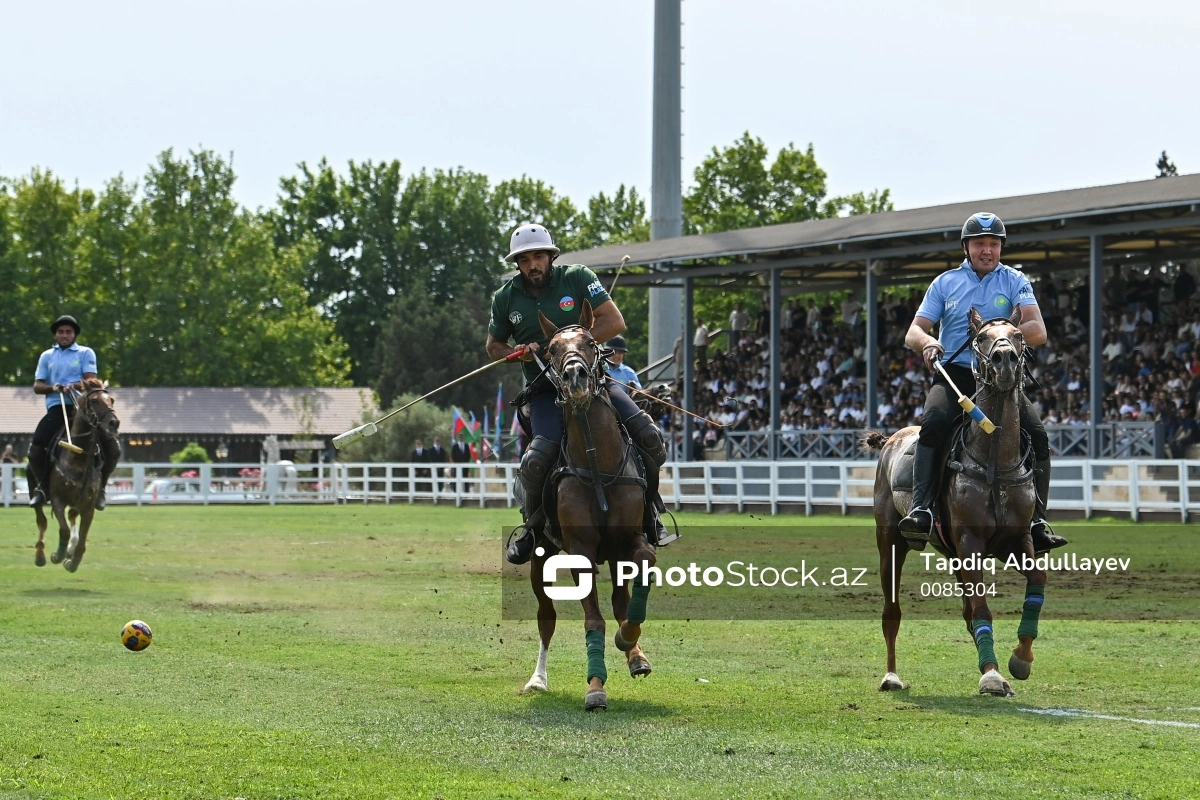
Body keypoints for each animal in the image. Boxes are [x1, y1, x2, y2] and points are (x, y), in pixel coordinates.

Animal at [34, 379, 120, 573]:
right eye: (94, 400)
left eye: (111, 399)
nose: (114, 423)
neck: (79, 457)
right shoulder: (57, 499)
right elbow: (63, 529)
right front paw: (57, 555)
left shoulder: (88, 506)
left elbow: (82, 540)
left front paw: (72, 561)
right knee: (41, 519)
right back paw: (40, 554)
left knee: (72, 517)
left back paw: (70, 550)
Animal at [525, 303, 657, 710]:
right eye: (550, 348)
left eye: (588, 341)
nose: (575, 376)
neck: (599, 461)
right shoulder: (580, 550)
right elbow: (592, 618)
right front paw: (595, 687)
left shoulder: (628, 540)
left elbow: (645, 564)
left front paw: (629, 641)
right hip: (541, 554)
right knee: (546, 615)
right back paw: (537, 679)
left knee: (619, 600)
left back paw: (635, 655)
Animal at [868, 309, 1046, 695]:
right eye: (980, 338)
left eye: (1018, 335)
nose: (1005, 359)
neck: (995, 461)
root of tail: (890, 439)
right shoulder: (970, 541)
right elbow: (981, 608)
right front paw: (992, 676)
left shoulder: (1018, 539)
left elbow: (1036, 581)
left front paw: (1020, 660)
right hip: (890, 541)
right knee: (891, 612)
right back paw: (891, 676)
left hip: (951, 552)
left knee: (964, 610)